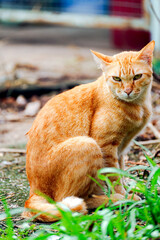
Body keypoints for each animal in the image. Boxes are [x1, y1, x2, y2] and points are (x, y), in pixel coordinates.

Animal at [22, 40, 155, 221]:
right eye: (117, 78)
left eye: (137, 77)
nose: (127, 91)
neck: (138, 106)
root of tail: (33, 191)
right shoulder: (106, 146)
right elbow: (114, 176)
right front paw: (124, 195)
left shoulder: (122, 148)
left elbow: (121, 170)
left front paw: (127, 187)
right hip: (87, 144)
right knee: (70, 200)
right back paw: (111, 200)